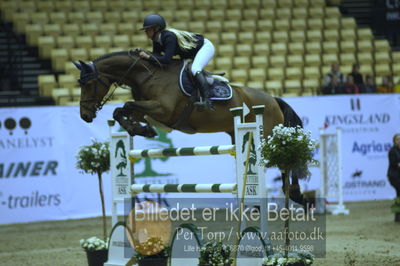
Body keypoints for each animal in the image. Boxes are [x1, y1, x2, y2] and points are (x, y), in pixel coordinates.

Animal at [75, 49, 310, 208]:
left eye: (88, 84)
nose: (85, 116)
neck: (148, 75)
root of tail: (272, 99)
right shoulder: (149, 109)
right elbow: (121, 111)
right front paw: (140, 130)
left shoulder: (163, 109)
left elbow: (126, 106)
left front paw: (141, 129)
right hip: (238, 136)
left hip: (266, 135)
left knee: (287, 160)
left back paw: (296, 194)